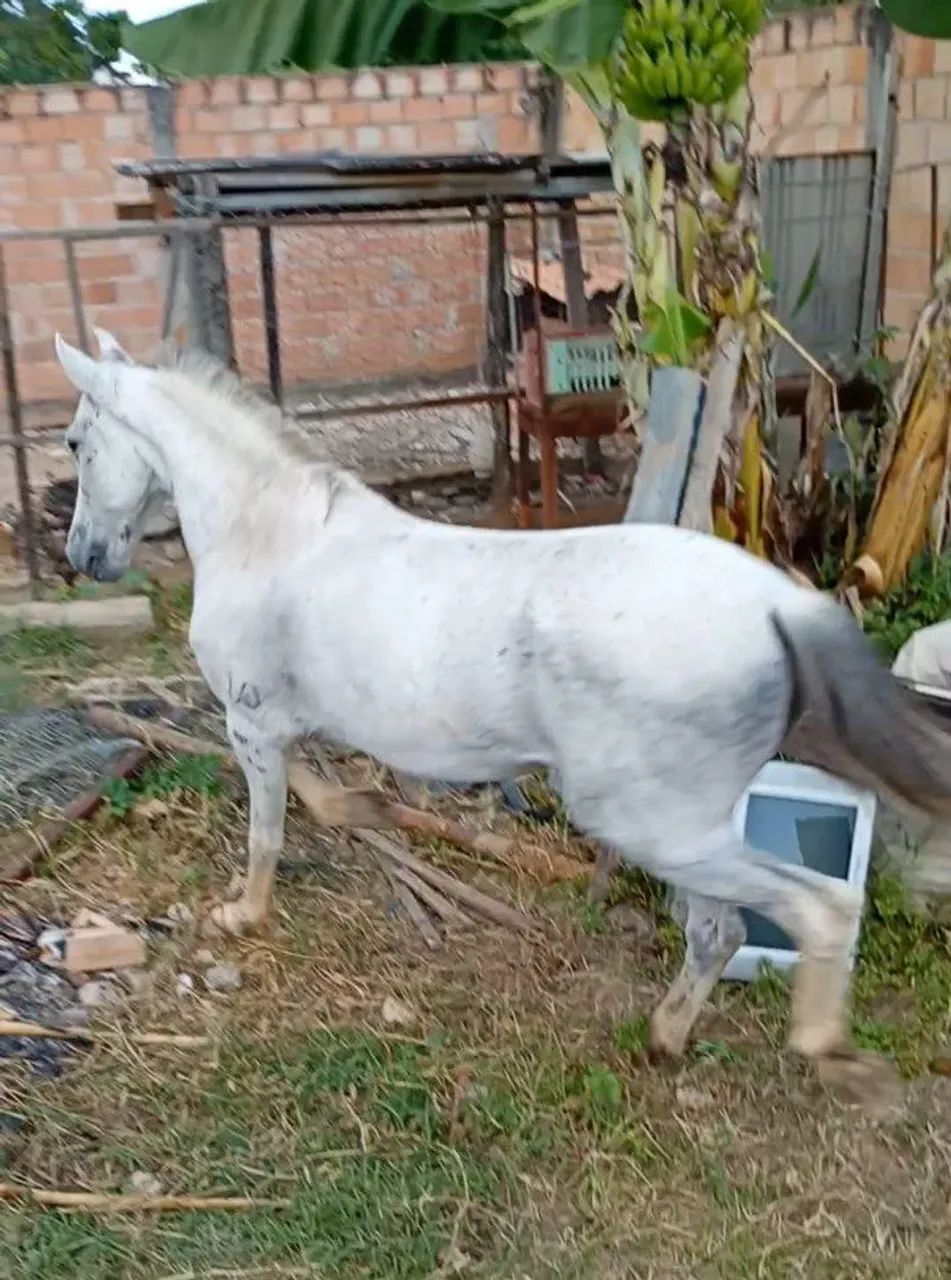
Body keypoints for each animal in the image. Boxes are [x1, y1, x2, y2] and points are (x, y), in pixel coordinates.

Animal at [54, 328, 951, 1098]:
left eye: (74, 442)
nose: (82, 557)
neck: (268, 533)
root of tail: (774, 604)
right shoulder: (284, 730)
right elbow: (322, 798)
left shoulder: (251, 726)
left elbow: (266, 831)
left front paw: (242, 914)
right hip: (695, 825)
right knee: (718, 933)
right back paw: (662, 1039)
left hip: (652, 824)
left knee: (815, 909)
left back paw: (828, 1054)